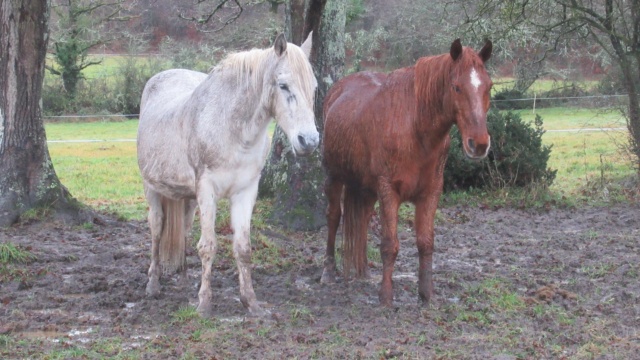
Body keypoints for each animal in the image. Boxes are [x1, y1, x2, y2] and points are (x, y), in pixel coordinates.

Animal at [137, 33, 318, 316]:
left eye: (314, 88)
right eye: (284, 85)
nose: (308, 141)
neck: (234, 130)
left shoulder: (245, 192)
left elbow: (242, 248)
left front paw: (251, 302)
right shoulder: (207, 190)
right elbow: (208, 246)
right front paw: (204, 305)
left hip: (188, 198)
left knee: (184, 232)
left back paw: (186, 280)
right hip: (152, 189)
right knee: (156, 230)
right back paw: (153, 285)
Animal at [322, 39, 492, 306]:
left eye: (489, 87)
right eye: (456, 87)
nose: (479, 144)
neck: (414, 128)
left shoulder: (431, 193)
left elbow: (425, 243)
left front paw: (426, 294)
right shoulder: (389, 191)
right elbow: (390, 244)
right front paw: (385, 297)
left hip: (366, 189)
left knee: (362, 220)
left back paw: (364, 271)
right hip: (333, 176)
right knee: (333, 217)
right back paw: (328, 271)